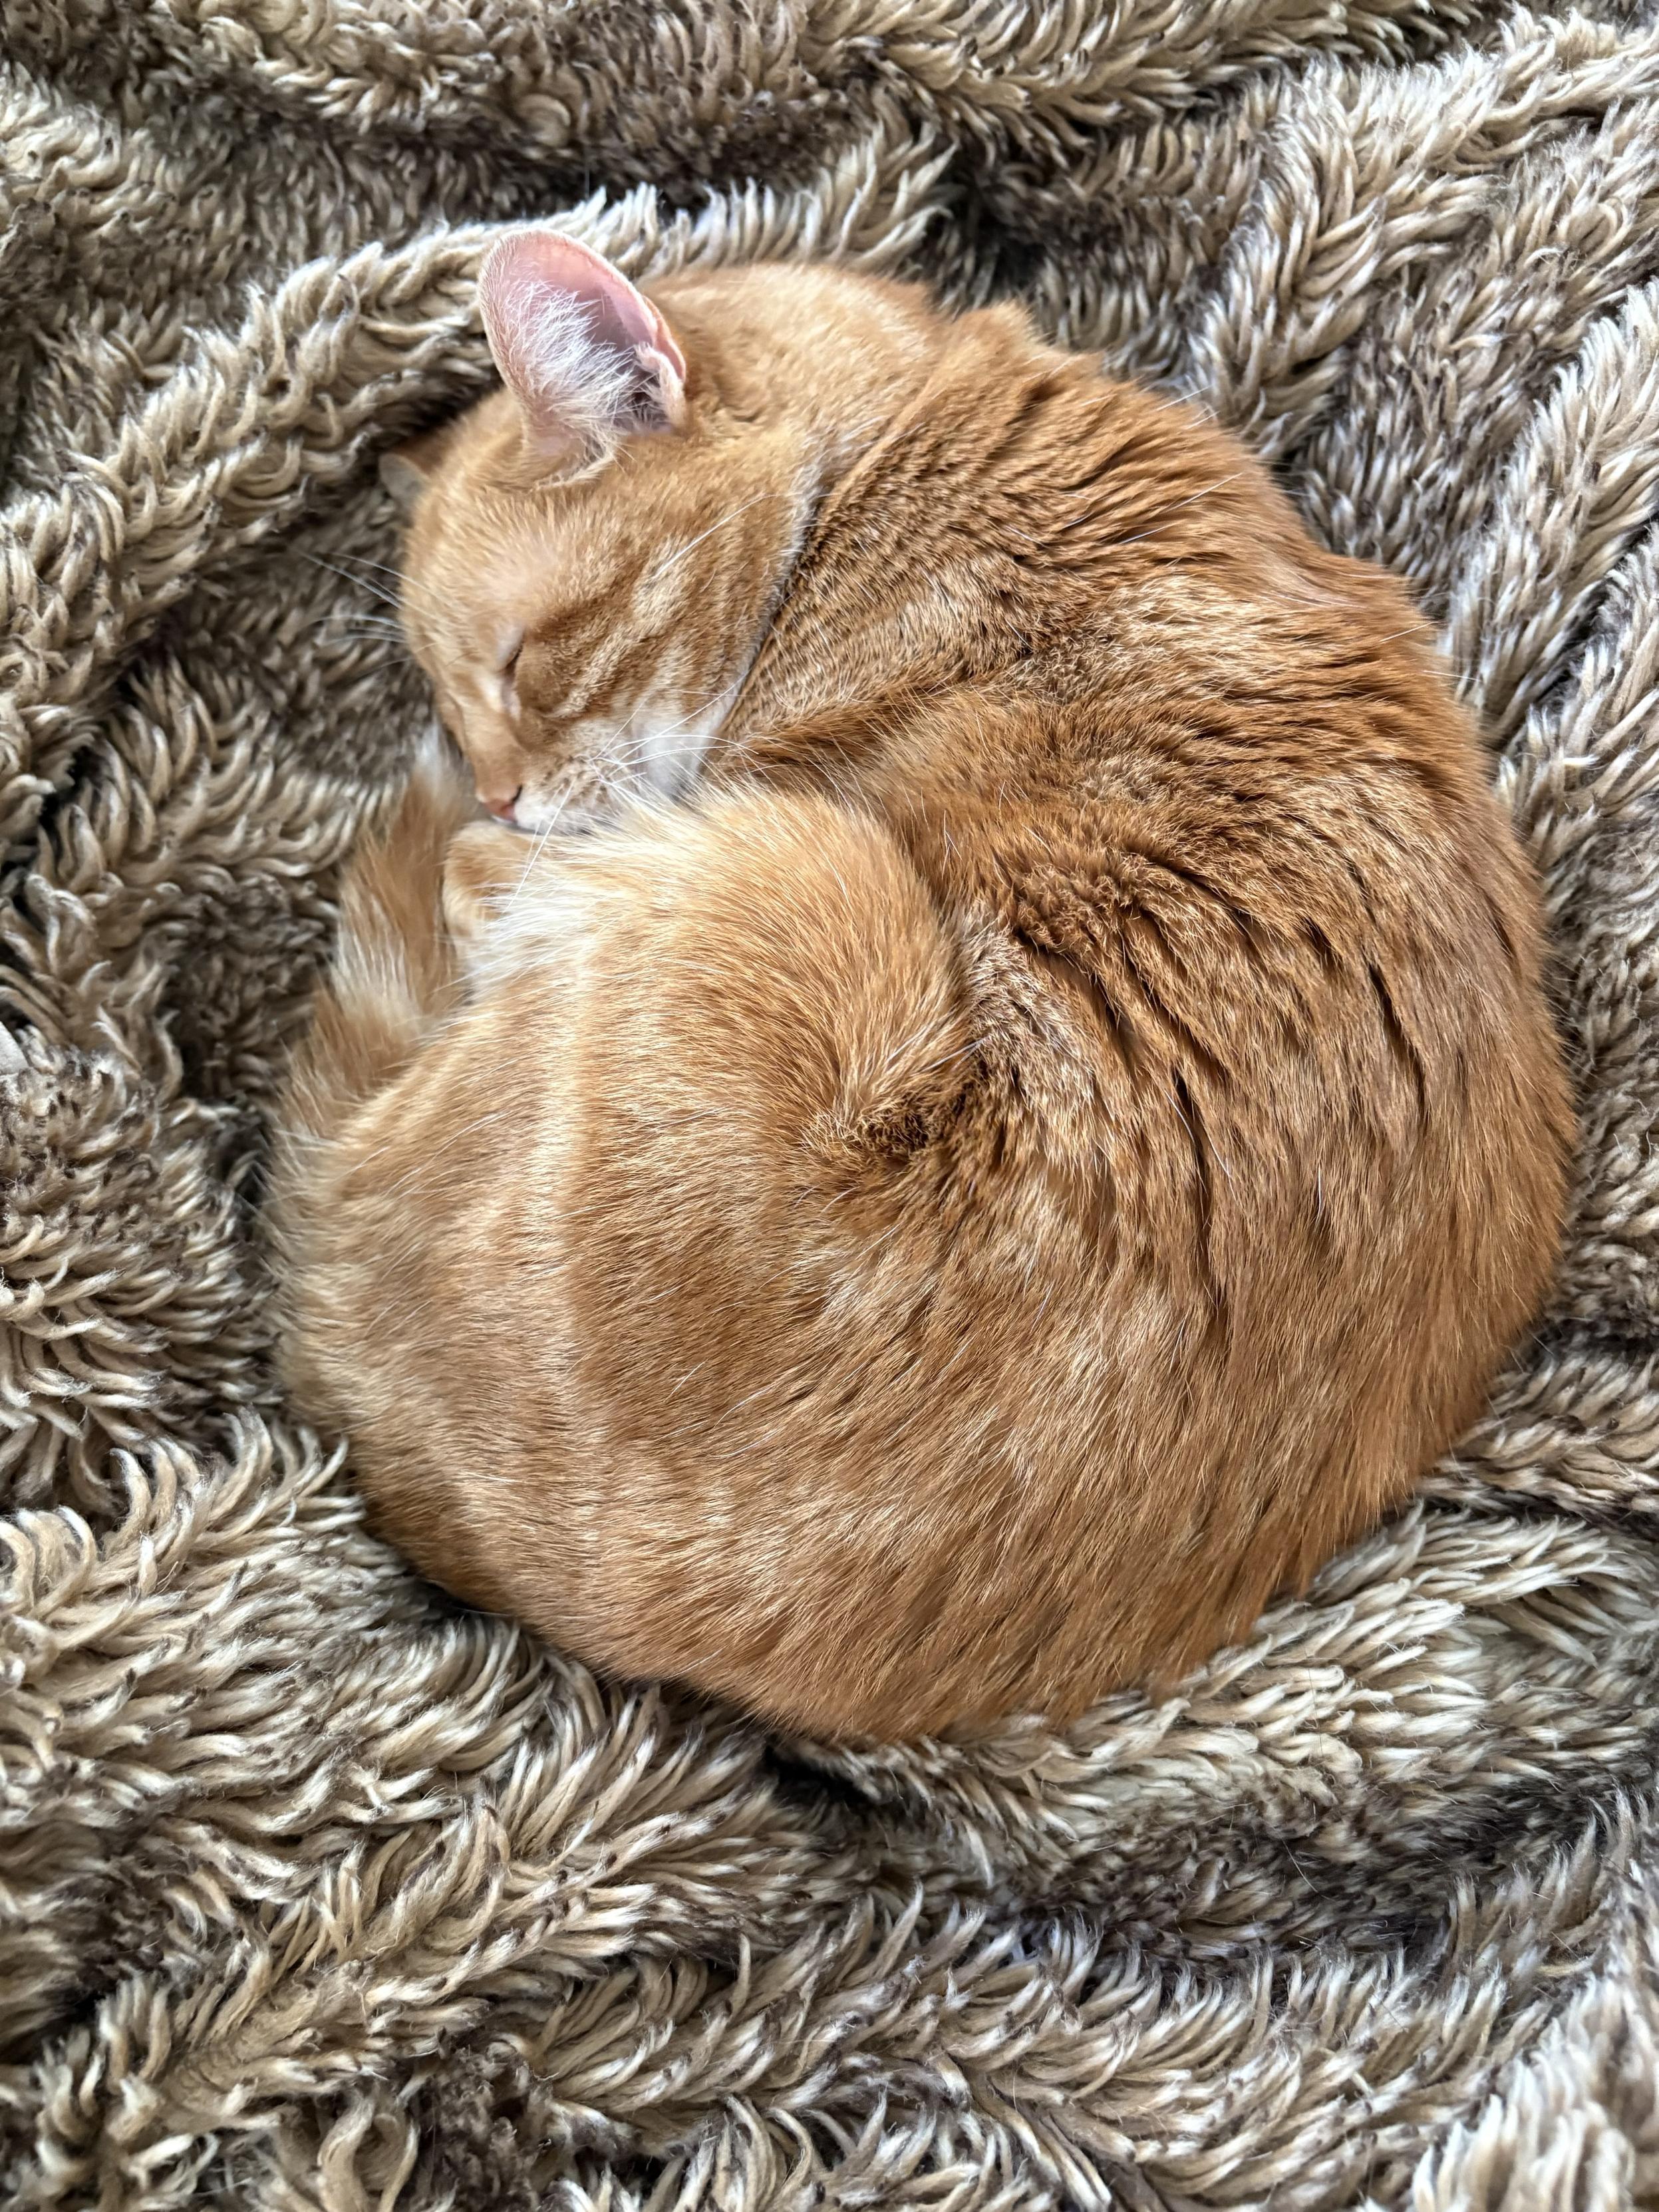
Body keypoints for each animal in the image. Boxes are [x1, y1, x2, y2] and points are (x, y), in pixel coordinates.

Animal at [269, 228, 1573, 1743]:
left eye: (521, 666)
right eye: (448, 699)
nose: (495, 792)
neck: (885, 446)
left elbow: (485, 878)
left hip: (802, 868)